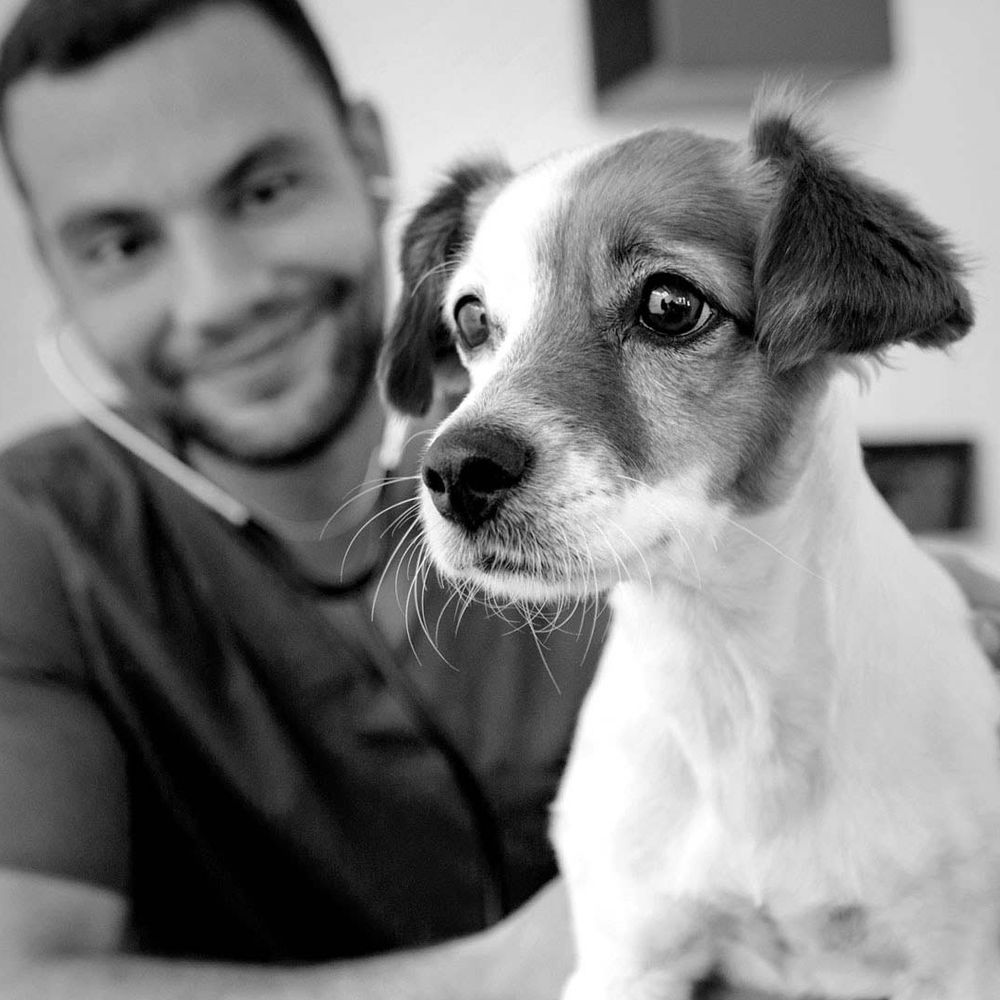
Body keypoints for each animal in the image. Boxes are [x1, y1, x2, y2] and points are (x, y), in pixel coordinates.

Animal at [378, 93, 1000, 999]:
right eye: (470, 319)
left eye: (671, 305)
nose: (455, 471)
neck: (727, 673)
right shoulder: (626, 957)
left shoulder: (954, 964)